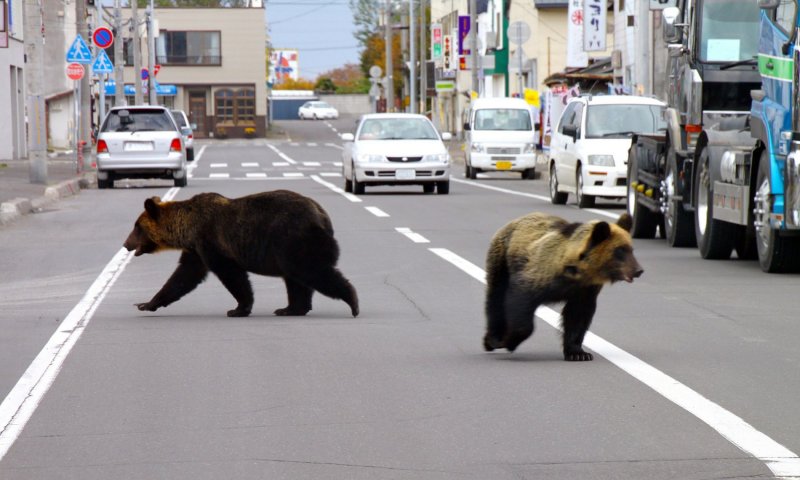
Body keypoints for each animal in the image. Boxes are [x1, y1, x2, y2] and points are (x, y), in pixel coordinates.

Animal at [123, 190, 359, 318]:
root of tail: (322, 216)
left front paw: (238, 308)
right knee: (296, 279)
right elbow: (183, 277)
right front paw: (146, 303)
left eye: (137, 227)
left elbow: (232, 275)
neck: (187, 229)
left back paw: (353, 302)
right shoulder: (196, 250)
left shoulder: (211, 241)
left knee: (310, 271)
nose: (126, 244)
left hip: (293, 239)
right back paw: (290, 308)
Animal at [482, 212, 642, 361]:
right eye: (620, 250)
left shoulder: (585, 290)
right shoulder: (538, 275)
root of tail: (515, 221)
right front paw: (508, 341)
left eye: (631, 249)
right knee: (496, 295)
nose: (638, 270)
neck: (576, 272)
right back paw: (492, 339)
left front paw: (578, 353)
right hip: (502, 258)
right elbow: (520, 301)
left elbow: (577, 317)